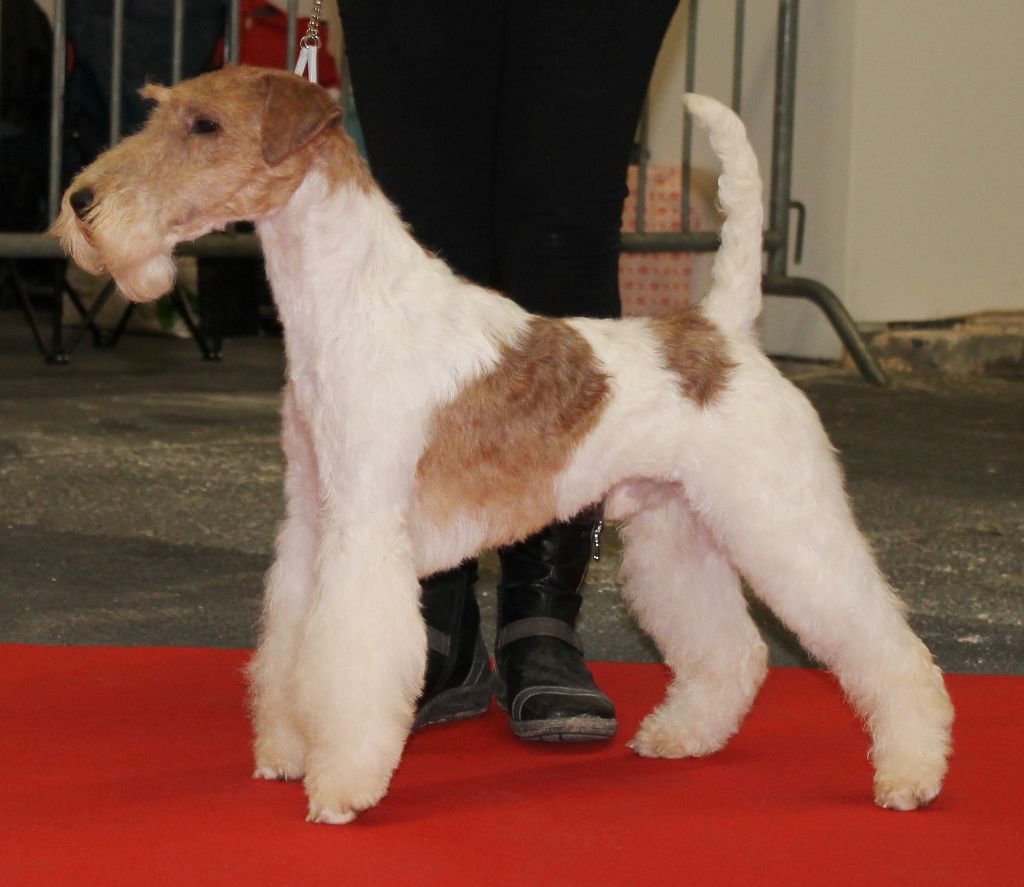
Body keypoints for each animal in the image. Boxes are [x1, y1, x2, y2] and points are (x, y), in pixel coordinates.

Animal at [54, 67, 950, 823]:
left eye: (204, 124)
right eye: (158, 111)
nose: (81, 201)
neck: (347, 301)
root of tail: (721, 330)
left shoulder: (363, 527)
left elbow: (346, 658)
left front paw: (340, 785)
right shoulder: (311, 519)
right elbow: (290, 647)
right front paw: (285, 747)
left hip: (782, 519)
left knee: (887, 644)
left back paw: (910, 772)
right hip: (679, 528)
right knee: (731, 647)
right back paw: (682, 734)